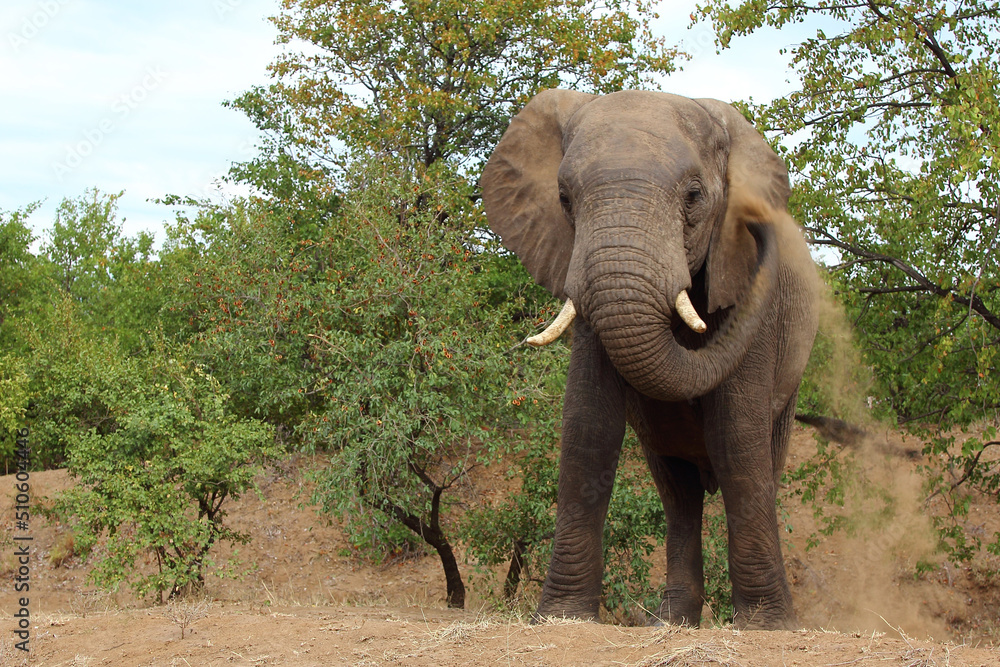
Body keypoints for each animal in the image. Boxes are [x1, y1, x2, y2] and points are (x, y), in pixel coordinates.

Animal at [480, 89, 819, 630]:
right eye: (564, 199)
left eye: (694, 197)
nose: (758, 223)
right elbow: (589, 426)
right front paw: (563, 617)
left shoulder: (750, 294)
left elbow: (735, 435)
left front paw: (768, 626)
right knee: (678, 492)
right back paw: (671, 622)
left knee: (762, 462)